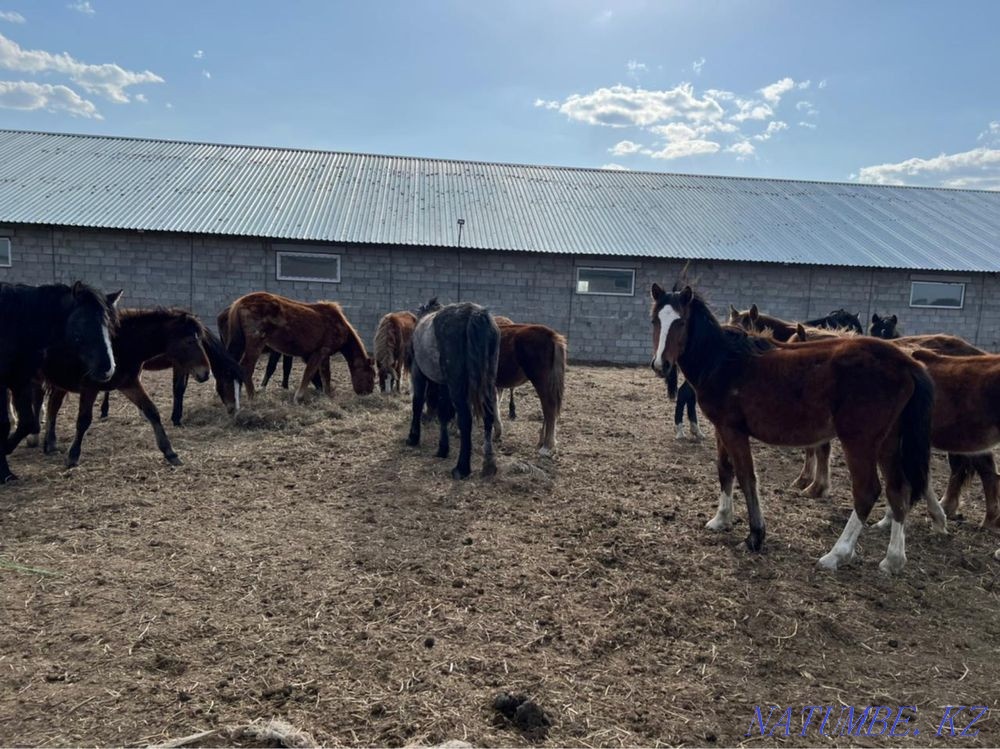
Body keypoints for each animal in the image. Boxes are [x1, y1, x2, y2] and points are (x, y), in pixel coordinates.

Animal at [40, 308, 211, 467]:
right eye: (190, 341)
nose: (206, 373)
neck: (122, 344)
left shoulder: (129, 384)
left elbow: (152, 411)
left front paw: (170, 453)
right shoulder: (90, 388)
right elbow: (83, 420)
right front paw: (73, 456)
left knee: (53, 406)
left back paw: (50, 444)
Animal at [98, 328, 244, 425]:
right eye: (228, 381)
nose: (235, 411)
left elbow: (182, 389)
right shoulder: (178, 365)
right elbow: (178, 389)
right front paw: (176, 419)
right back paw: (104, 412)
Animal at [222, 292, 375, 403]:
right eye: (371, 376)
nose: (368, 393)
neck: (339, 325)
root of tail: (239, 302)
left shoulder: (324, 355)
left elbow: (325, 375)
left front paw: (326, 395)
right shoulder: (321, 351)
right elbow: (310, 374)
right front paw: (299, 397)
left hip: (240, 343)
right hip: (256, 343)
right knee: (246, 367)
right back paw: (252, 397)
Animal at [407, 299, 500, 479]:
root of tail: (474, 314)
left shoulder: (418, 372)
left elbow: (417, 403)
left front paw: (413, 437)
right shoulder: (444, 384)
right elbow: (444, 413)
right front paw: (442, 449)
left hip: (457, 386)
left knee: (465, 419)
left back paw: (462, 468)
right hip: (487, 382)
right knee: (489, 415)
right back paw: (488, 464)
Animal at [652, 283, 935, 574]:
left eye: (681, 321)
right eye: (655, 321)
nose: (661, 365)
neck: (724, 360)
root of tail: (907, 363)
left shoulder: (733, 431)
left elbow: (746, 476)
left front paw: (755, 536)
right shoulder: (722, 428)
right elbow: (725, 470)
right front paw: (721, 519)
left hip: (860, 442)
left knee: (867, 491)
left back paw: (837, 554)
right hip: (889, 443)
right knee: (898, 489)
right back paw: (893, 559)